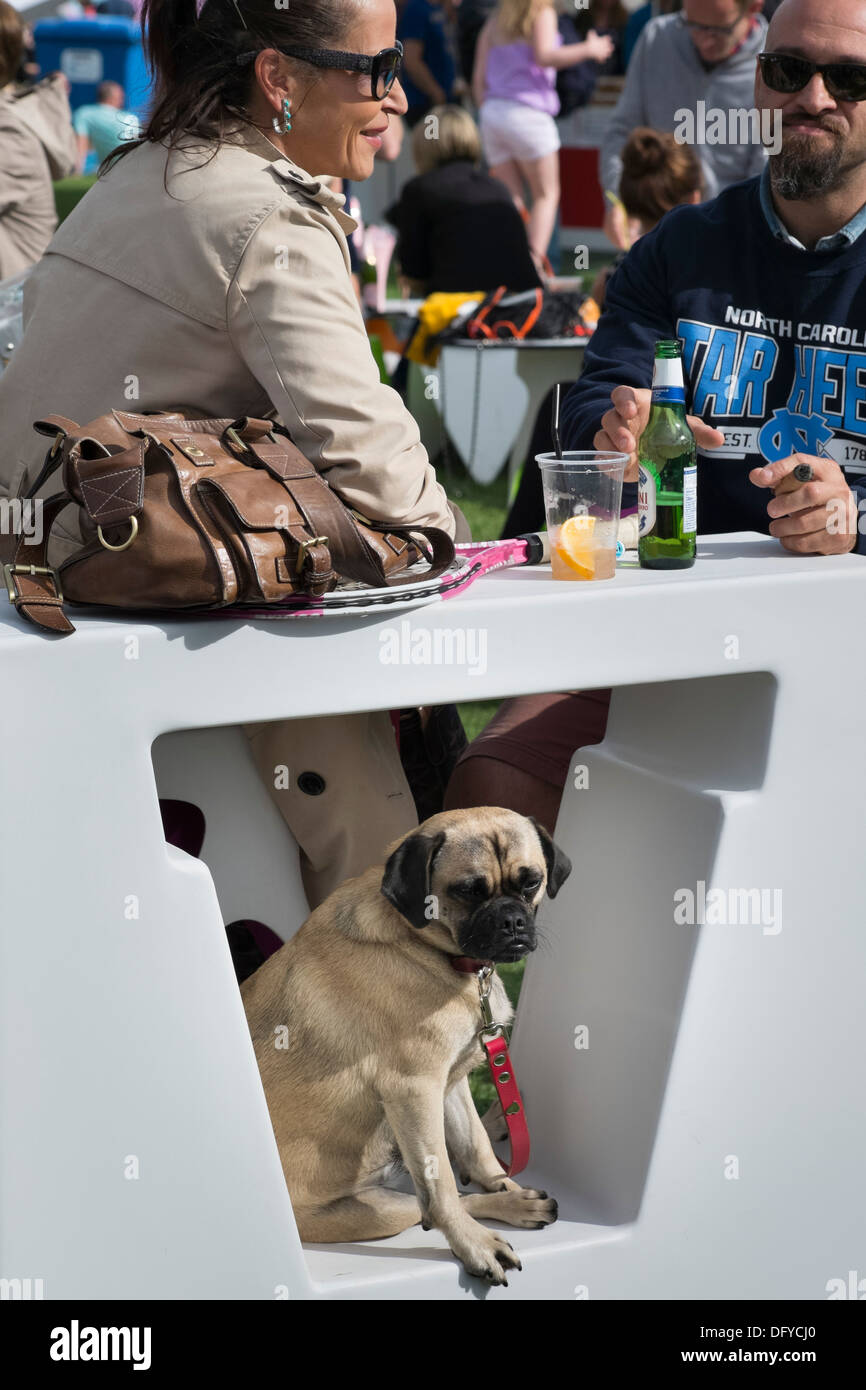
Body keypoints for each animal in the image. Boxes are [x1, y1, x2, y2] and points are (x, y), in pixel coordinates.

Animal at [240, 811, 572, 1284]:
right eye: (467, 891)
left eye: (531, 883)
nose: (511, 921)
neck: (427, 945)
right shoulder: (416, 1088)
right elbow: (444, 1188)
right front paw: (475, 1244)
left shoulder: (450, 1080)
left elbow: (476, 1147)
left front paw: (503, 1181)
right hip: (382, 1210)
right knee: (431, 1207)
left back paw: (509, 1182)